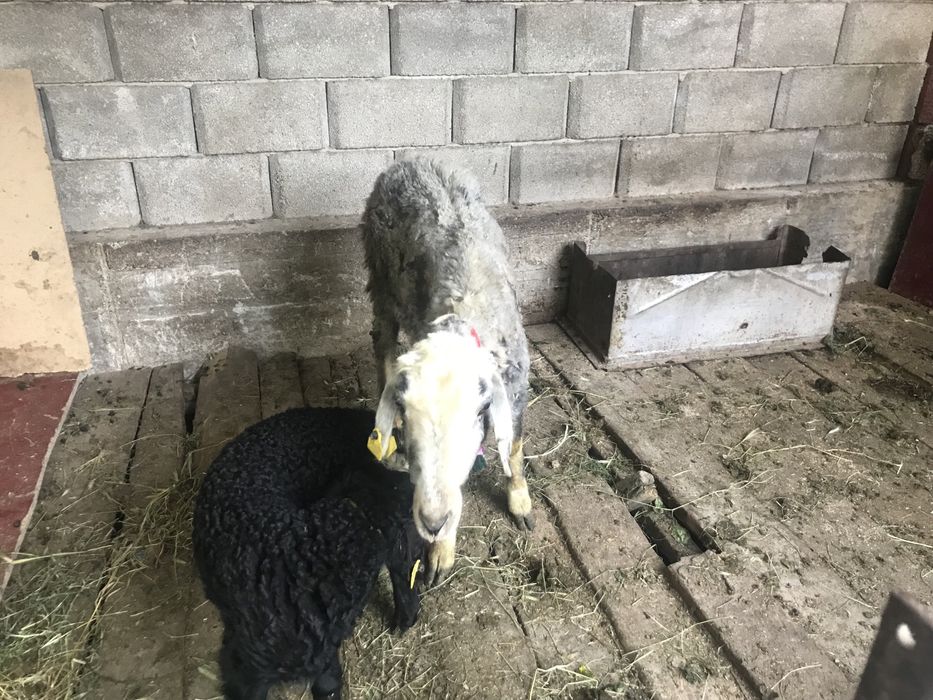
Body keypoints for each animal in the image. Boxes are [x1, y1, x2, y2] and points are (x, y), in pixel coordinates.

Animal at [361, 157, 534, 586]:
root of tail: (409, 160)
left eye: (480, 411)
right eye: (407, 412)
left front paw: (520, 500)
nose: (433, 521)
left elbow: (515, 447)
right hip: (381, 279)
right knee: (382, 343)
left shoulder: (517, 389)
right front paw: (441, 550)